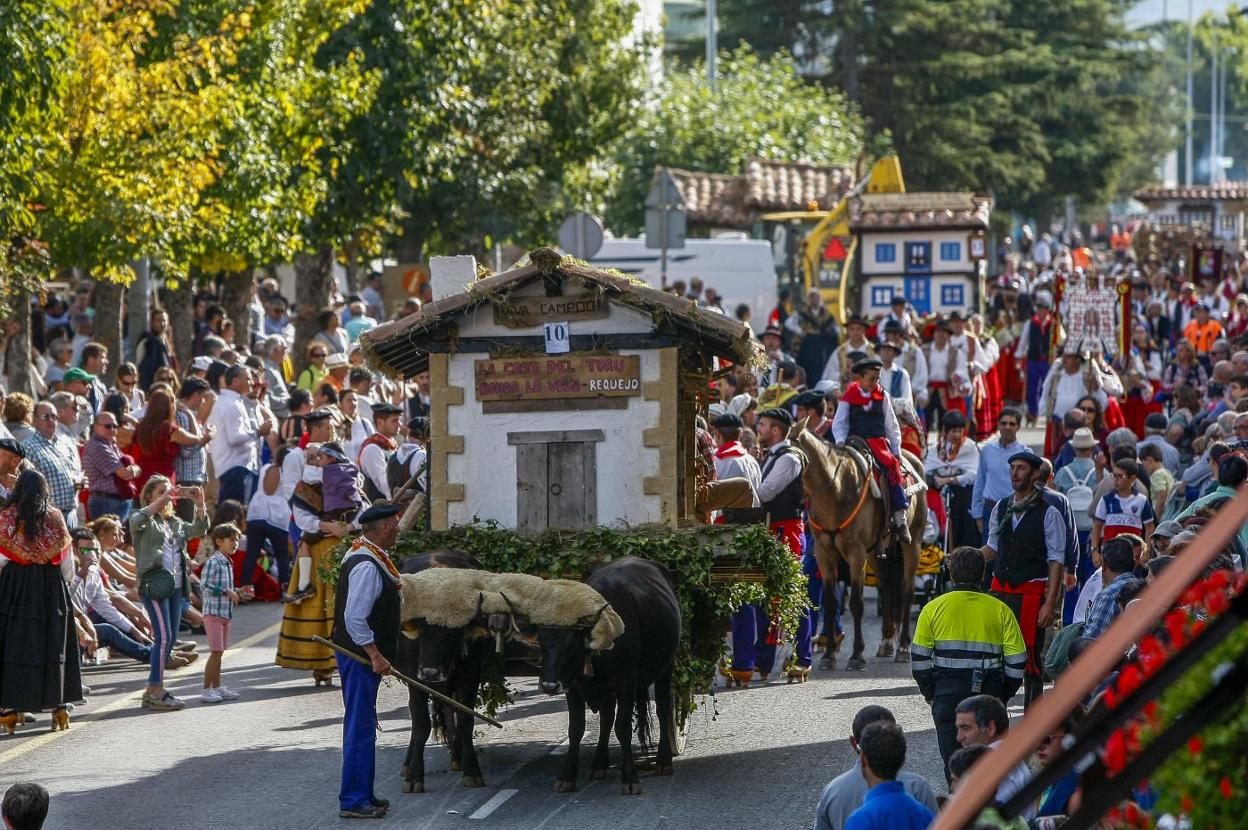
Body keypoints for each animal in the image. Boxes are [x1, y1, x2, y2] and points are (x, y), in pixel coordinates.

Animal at [788, 424, 928, 668]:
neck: (837, 491)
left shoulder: (856, 554)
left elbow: (856, 603)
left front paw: (856, 654)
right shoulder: (824, 554)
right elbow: (830, 602)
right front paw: (829, 654)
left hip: (913, 544)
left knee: (906, 590)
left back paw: (903, 647)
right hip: (876, 552)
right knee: (887, 588)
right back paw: (886, 643)